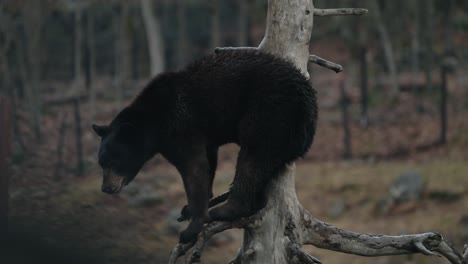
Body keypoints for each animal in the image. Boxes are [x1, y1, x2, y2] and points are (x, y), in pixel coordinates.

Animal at [91, 49, 318, 243]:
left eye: (114, 162)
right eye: (101, 163)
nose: (106, 188)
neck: (155, 120)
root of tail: (311, 112)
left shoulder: (180, 126)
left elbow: (194, 168)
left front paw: (191, 227)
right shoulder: (201, 137)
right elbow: (208, 162)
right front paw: (190, 208)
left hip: (271, 114)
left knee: (252, 158)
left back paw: (226, 209)